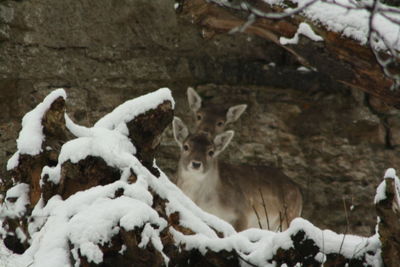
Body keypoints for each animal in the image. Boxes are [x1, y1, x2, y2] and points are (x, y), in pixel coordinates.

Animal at [173, 117, 304, 232]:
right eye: (186, 146)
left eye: (211, 152)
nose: (196, 163)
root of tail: (298, 191)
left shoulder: (242, 213)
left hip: (289, 215)